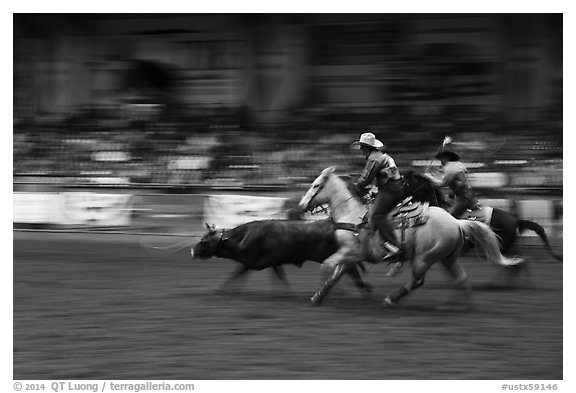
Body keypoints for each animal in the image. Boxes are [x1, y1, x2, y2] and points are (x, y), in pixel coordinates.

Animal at [296, 167, 520, 308]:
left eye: (316, 186)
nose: (302, 205)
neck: (352, 214)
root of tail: (457, 222)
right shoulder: (351, 255)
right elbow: (337, 273)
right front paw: (319, 296)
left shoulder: (350, 251)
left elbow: (327, 266)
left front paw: (324, 294)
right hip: (447, 258)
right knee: (461, 279)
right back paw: (458, 306)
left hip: (424, 258)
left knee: (418, 280)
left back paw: (391, 300)